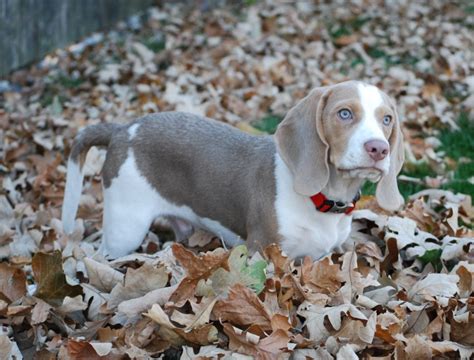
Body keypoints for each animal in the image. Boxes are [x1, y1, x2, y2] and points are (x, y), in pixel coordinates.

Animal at [61, 81, 406, 258]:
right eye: (344, 113)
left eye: (387, 119)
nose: (379, 149)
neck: (325, 199)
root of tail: (123, 129)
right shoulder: (261, 251)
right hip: (125, 230)